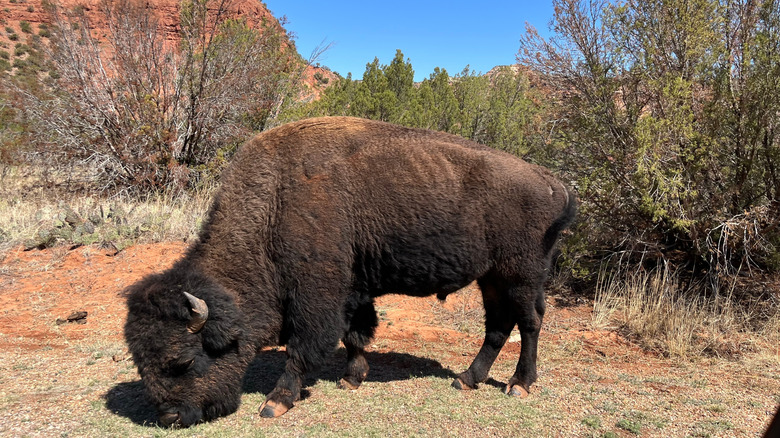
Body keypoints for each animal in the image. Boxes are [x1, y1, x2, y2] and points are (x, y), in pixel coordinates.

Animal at [125, 115, 576, 424]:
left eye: (183, 363)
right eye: (141, 365)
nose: (171, 418)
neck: (276, 203)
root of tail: (554, 183)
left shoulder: (317, 294)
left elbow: (306, 345)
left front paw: (276, 401)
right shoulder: (354, 291)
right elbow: (356, 333)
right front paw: (352, 378)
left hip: (520, 275)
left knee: (529, 323)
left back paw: (519, 386)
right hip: (492, 278)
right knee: (498, 325)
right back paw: (467, 378)